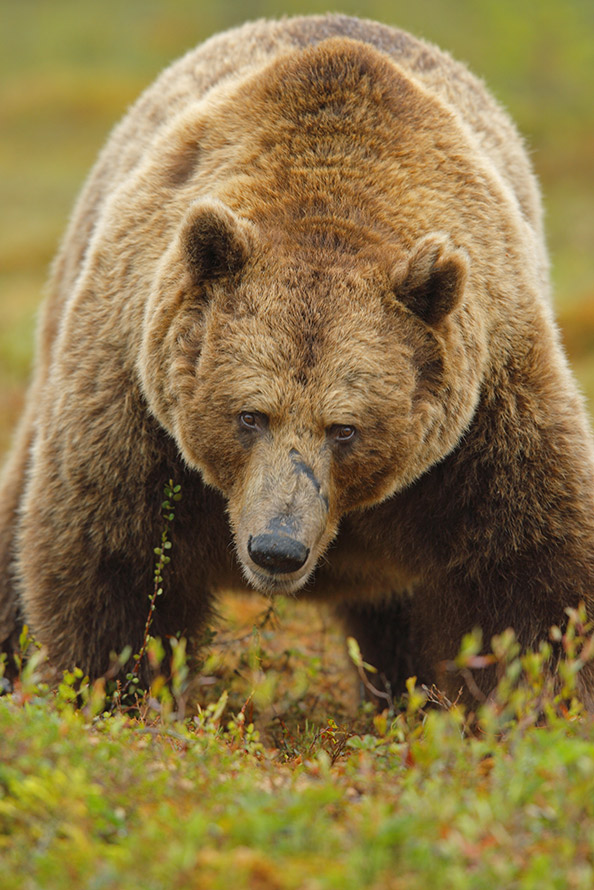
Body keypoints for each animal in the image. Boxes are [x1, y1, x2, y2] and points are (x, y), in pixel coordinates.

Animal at [1, 13, 592, 704]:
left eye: (346, 428)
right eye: (249, 414)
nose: (276, 549)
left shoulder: (486, 413)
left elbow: (527, 576)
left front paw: (531, 700)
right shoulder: (135, 399)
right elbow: (112, 560)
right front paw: (109, 690)